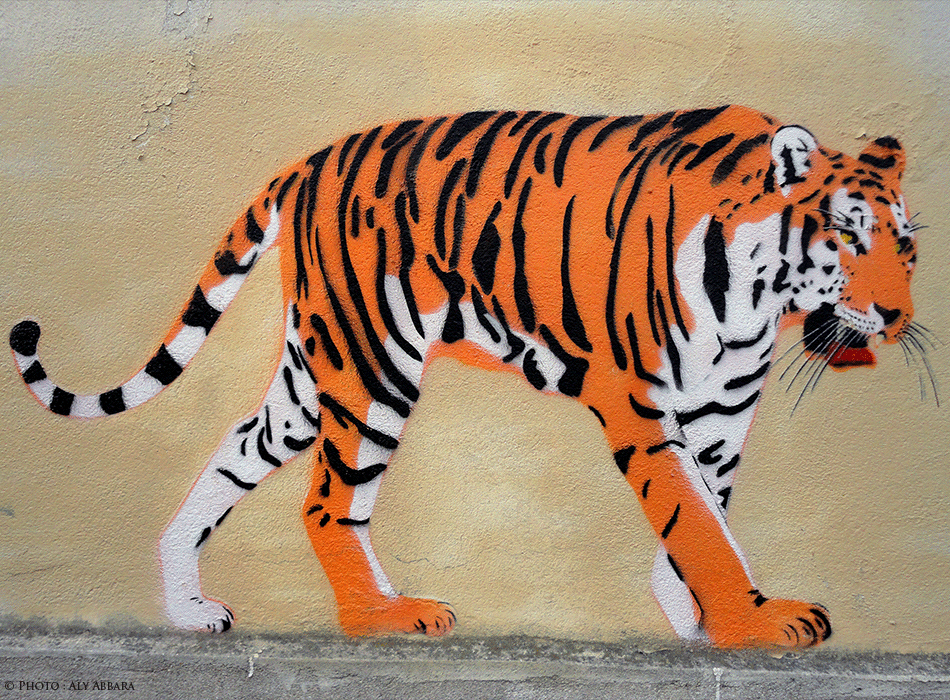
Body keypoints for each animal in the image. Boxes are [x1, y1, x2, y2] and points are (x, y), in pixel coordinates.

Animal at [9, 105, 921, 648]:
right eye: (848, 236)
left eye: (907, 244)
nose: (896, 315)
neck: (759, 300)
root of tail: (307, 161)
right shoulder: (641, 402)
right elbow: (694, 519)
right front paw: (749, 623)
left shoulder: (725, 409)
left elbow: (711, 517)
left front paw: (696, 620)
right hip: (373, 365)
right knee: (327, 502)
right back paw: (381, 618)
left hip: (314, 370)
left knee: (241, 445)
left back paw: (188, 609)